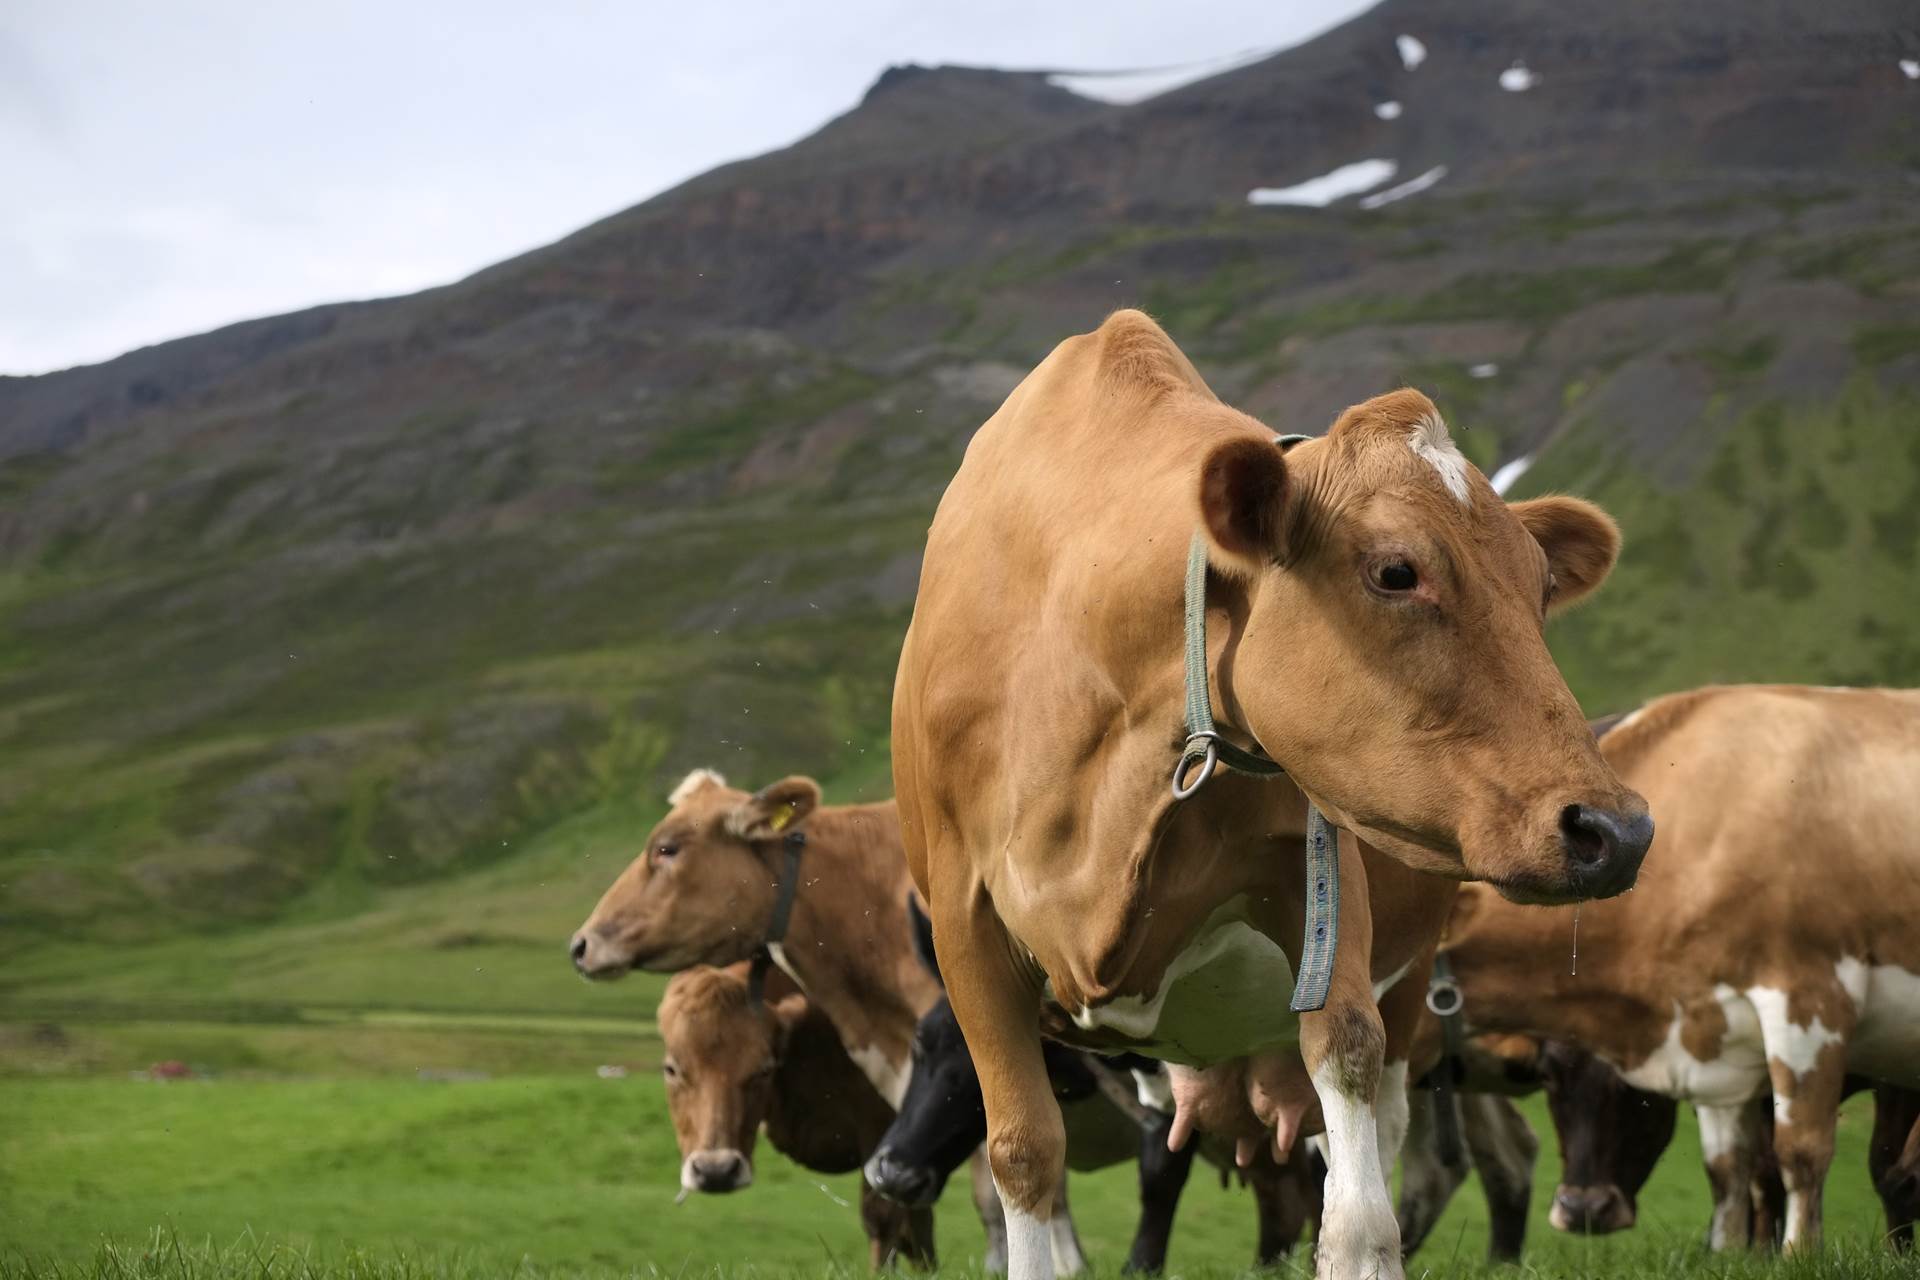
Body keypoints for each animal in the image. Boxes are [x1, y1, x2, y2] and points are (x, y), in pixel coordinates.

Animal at [890, 310, 1643, 1280]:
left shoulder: (1322, 869)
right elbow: (1022, 1153)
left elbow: (1354, 1135)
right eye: (1395, 572)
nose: (1617, 829)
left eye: (1541, 586)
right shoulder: (963, 922)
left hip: (1412, 987)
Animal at [1443, 687, 1920, 1258]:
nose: (1582, 1211)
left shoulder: (1811, 1000)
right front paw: (1731, 1253)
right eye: (1551, 1079)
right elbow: (1731, 1166)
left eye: (1637, 1095)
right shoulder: (1713, 1026)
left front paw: (1802, 1255)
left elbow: (1806, 1154)